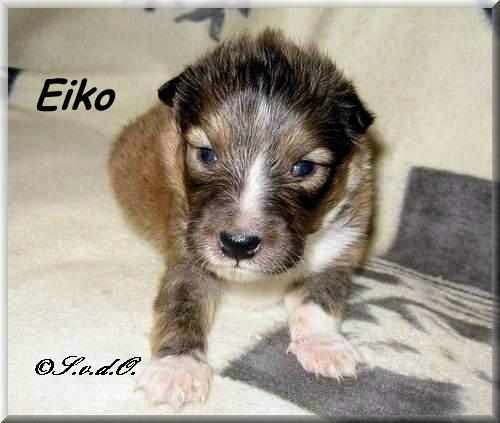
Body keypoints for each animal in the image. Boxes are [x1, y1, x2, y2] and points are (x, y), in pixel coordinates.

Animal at [109, 28, 374, 409]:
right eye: (206, 153)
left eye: (304, 167)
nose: (238, 244)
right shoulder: (188, 256)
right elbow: (181, 306)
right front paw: (177, 368)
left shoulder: (341, 249)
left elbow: (320, 299)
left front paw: (324, 346)